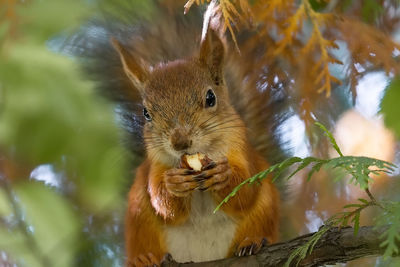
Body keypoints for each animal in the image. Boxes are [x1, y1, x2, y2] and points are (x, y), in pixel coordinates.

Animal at [108, 6, 278, 266]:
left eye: (210, 98)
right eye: (146, 113)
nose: (180, 142)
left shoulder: (242, 152)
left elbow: (244, 192)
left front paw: (223, 175)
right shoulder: (155, 165)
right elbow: (163, 203)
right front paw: (174, 184)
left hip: (265, 211)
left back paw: (254, 242)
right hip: (139, 220)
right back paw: (144, 259)